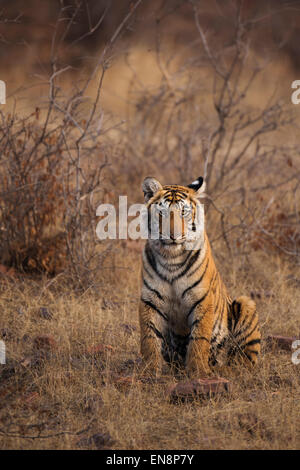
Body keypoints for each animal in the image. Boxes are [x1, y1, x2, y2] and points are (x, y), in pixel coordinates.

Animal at [138, 174, 260, 376]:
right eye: (162, 213)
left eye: (184, 212)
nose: (173, 235)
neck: (171, 259)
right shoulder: (150, 300)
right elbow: (149, 337)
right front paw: (149, 371)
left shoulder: (201, 299)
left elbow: (199, 338)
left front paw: (198, 372)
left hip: (246, 304)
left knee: (245, 361)